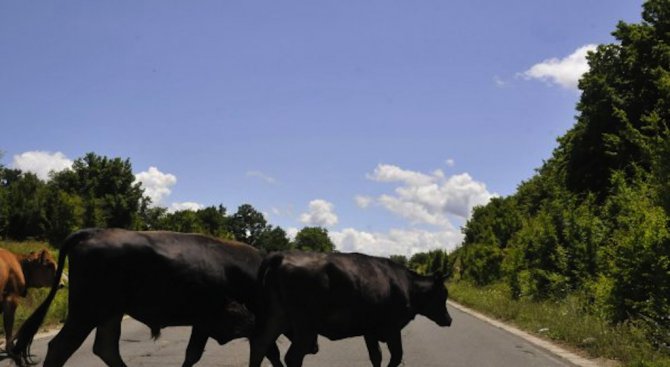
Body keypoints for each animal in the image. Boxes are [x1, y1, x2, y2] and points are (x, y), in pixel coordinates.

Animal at [9, 230, 284, 367]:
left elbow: (193, 354)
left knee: (106, 348)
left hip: (110, 313)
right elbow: (267, 351)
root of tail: (91, 232)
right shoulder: (229, 321)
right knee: (61, 347)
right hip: (86, 312)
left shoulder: (207, 323)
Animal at [249, 252, 454, 367]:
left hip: (278, 317)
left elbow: (376, 357)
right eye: (443, 295)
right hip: (305, 326)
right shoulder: (392, 328)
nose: (449, 319)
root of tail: (282, 256)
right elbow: (396, 357)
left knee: (260, 346)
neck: (407, 286)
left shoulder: (370, 331)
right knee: (292, 357)